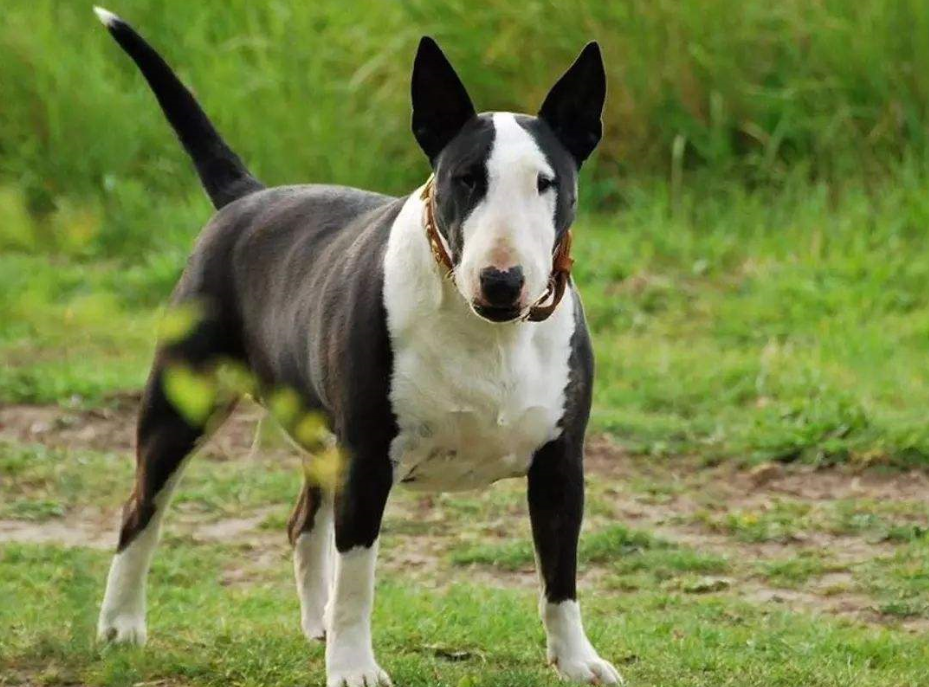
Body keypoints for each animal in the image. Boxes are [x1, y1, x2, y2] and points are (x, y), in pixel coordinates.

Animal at [94, 6, 620, 687]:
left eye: (546, 183)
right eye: (465, 180)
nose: (502, 281)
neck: (488, 331)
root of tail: (245, 197)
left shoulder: (561, 461)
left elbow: (561, 573)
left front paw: (579, 660)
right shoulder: (368, 458)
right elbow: (358, 576)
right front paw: (353, 667)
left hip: (320, 431)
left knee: (301, 521)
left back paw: (313, 622)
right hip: (182, 404)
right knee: (142, 509)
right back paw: (121, 624)